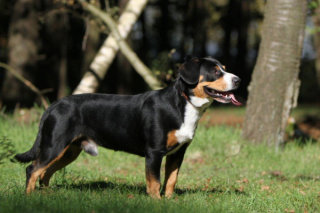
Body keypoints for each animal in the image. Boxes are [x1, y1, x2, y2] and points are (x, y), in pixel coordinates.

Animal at [14, 56, 240, 198]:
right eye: (214, 71)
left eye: (224, 68)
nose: (238, 80)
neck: (183, 104)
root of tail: (55, 103)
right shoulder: (154, 152)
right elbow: (155, 183)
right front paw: (157, 203)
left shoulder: (178, 153)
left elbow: (171, 180)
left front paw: (168, 201)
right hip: (55, 145)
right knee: (33, 169)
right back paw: (29, 197)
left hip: (68, 151)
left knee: (45, 172)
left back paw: (47, 194)